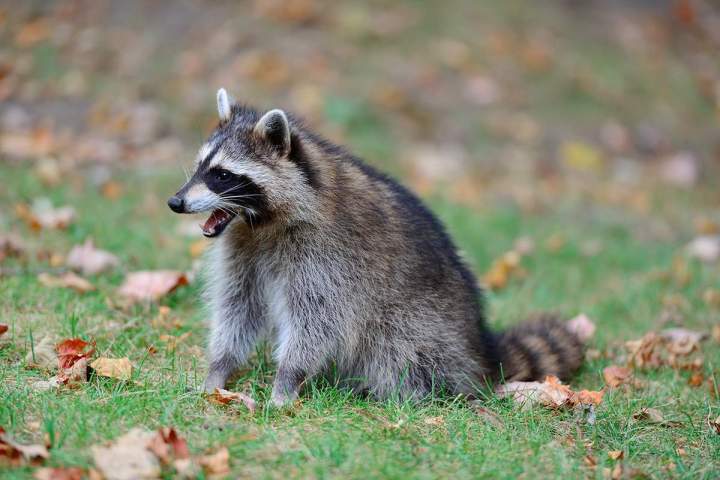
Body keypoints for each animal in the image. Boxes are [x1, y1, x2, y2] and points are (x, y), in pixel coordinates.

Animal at [167, 88, 583, 406]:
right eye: (200, 167)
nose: (175, 202)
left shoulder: (327, 254)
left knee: (398, 346)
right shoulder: (244, 246)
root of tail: (479, 352)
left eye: (222, 175)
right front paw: (219, 368)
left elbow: (318, 320)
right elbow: (240, 304)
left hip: (425, 324)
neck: (263, 223)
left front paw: (287, 379)